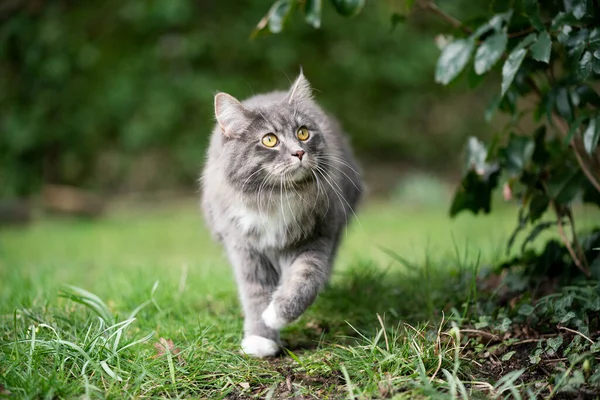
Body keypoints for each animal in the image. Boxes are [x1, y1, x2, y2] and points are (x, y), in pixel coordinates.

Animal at [200, 73, 360, 358]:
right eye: (269, 140)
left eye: (303, 133)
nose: (299, 152)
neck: (275, 198)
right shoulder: (244, 248)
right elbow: (255, 295)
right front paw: (260, 338)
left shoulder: (316, 236)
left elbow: (304, 280)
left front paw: (276, 313)